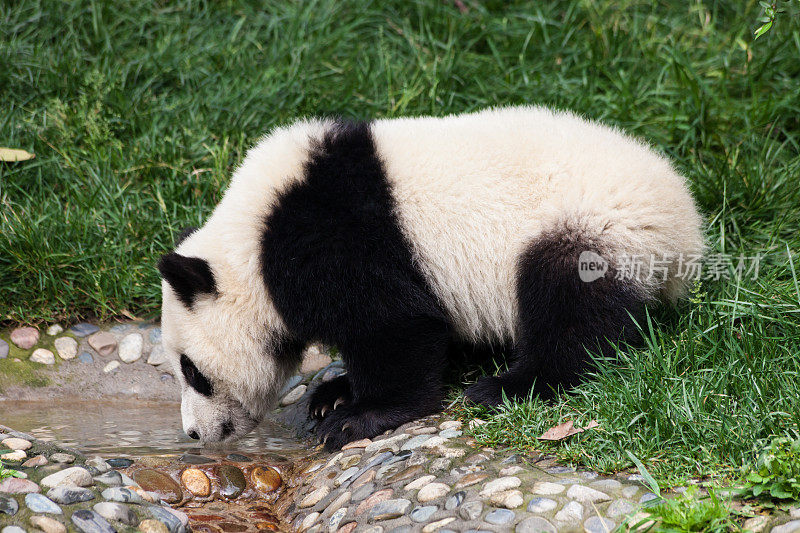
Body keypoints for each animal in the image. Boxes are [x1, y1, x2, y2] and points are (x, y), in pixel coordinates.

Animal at [155, 107, 700, 448]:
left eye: (192, 372)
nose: (195, 434)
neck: (252, 242)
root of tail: (686, 228)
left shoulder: (334, 239)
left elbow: (396, 325)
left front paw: (358, 418)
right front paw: (334, 395)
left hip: (590, 225)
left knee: (570, 310)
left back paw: (508, 386)